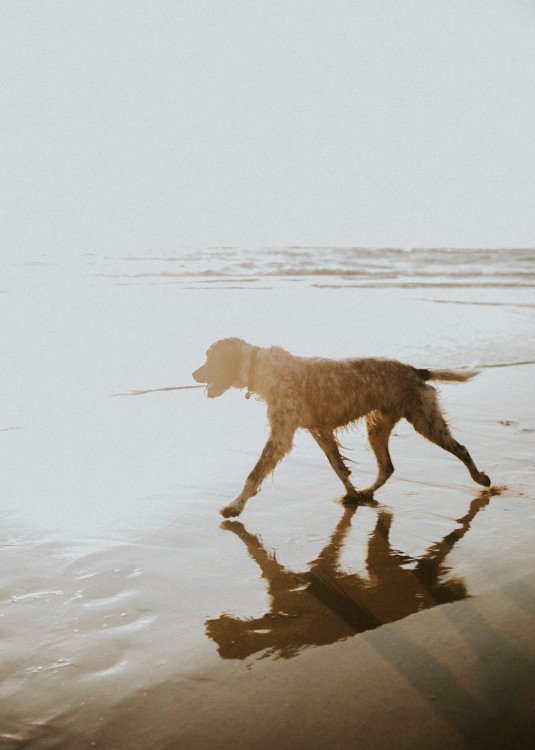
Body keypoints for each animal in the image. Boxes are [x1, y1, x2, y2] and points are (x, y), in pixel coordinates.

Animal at [193, 340, 490, 520]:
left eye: (210, 358)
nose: (193, 374)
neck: (260, 367)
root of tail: (416, 370)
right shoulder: (319, 431)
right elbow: (338, 466)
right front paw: (353, 493)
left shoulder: (281, 437)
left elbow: (254, 474)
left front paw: (235, 505)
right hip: (377, 428)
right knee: (387, 467)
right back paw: (367, 492)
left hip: (424, 421)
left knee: (461, 449)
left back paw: (481, 478)